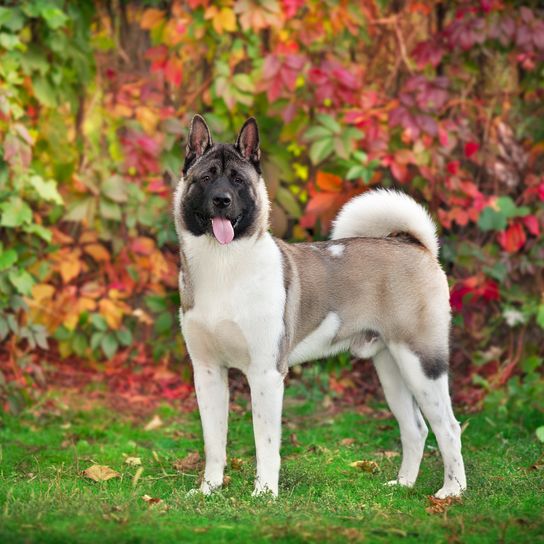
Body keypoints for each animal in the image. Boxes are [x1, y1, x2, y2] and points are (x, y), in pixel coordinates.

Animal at [174, 117, 468, 500]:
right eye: (206, 177)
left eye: (238, 180)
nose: (221, 201)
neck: (224, 265)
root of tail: (416, 245)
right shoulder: (208, 372)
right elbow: (214, 442)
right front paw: (209, 489)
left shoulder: (266, 373)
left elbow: (265, 443)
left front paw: (264, 494)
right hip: (391, 366)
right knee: (415, 427)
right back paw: (403, 484)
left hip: (422, 362)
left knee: (448, 427)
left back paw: (452, 491)